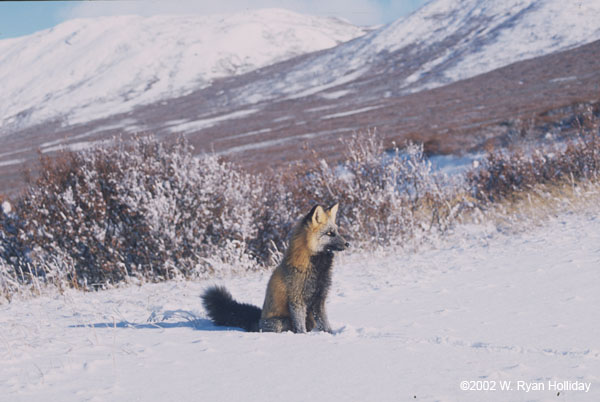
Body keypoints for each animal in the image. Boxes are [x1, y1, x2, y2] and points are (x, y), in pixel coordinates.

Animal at [203, 204, 350, 332]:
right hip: (280, 323)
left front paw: (330, 335)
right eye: (329, 233)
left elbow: (325, 325)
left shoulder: (319, 300)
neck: (316, 269)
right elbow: (300, 329)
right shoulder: (297, 301)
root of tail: (258, 321)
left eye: (336, 231)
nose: (348, 244)